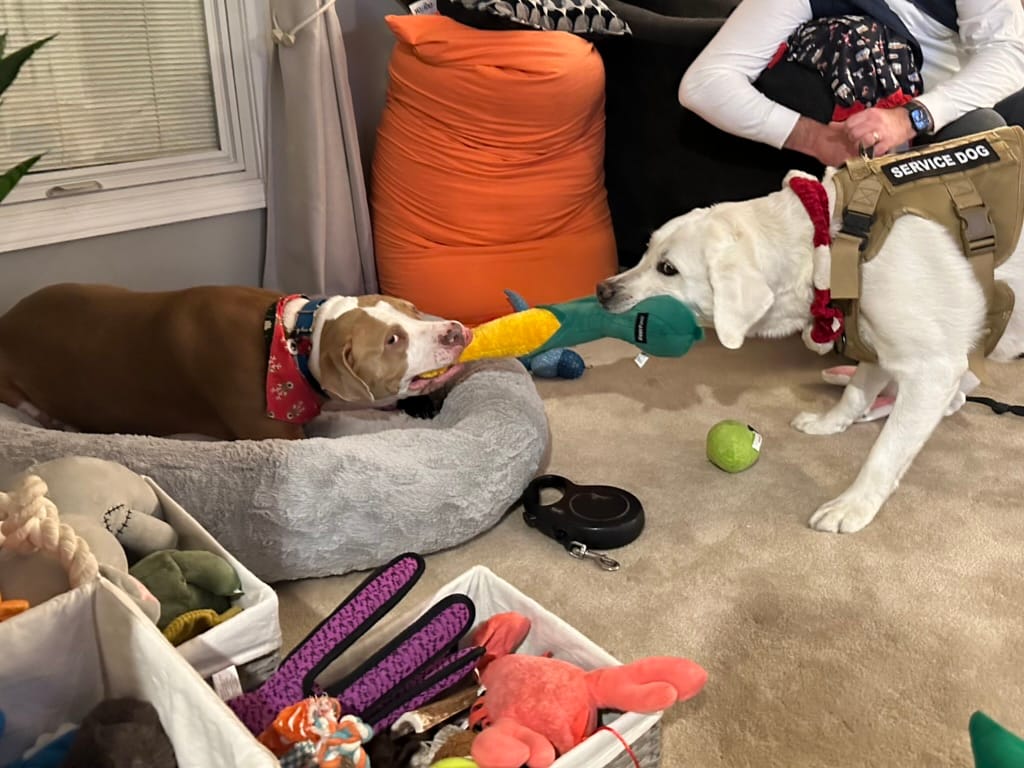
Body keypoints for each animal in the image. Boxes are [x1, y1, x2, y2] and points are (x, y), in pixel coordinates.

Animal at [598, 166, 1019, 536]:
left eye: (668, 269)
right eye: (646, 251)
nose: (602, 290)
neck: (829, 243)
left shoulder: (932, 368)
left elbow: (885, 451)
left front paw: (853, 505)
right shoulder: (872, 337)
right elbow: (856, 392)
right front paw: (831, 423)